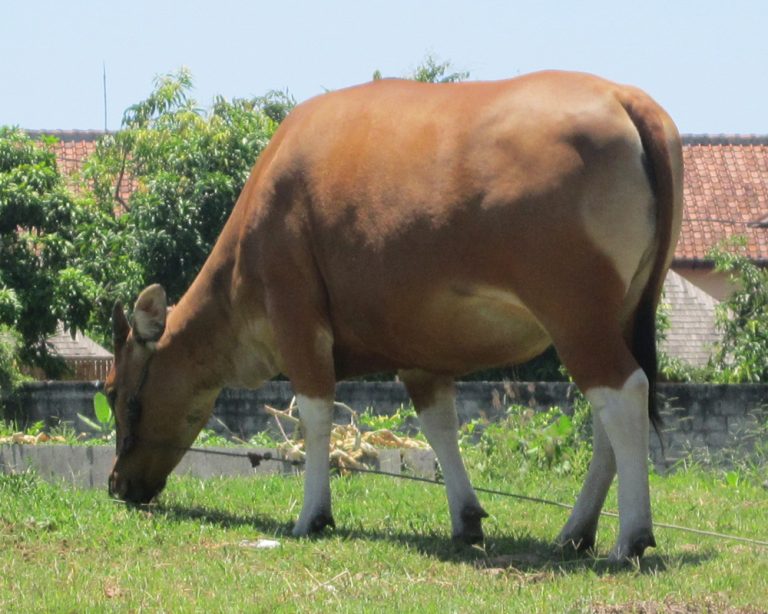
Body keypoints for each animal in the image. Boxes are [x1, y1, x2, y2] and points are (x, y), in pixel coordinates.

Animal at [105, 71, 680, 564]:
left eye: (119, 395)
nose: (116, 483)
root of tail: (624, 97)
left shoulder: (297, 318)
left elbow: (316, 415)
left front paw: (312, 515)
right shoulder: (420, 354)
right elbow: (440, 426)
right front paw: (466, 519)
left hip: (575, 315)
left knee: (623, 394)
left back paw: (630, 536)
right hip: (617, 315)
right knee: (610, 412)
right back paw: (576, 531)